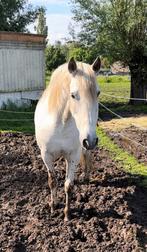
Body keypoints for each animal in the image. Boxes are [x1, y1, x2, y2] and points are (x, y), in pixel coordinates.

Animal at [35, 57, 100, 220]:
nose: (90, 140)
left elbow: (68, 185)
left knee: (87, 156)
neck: (60, 124)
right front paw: (53, 207)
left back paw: (86, 177)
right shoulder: (46, 155)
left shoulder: (74, 155)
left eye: (98, 93)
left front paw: (67, 214)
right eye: (73, 95)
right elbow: (53, 181)